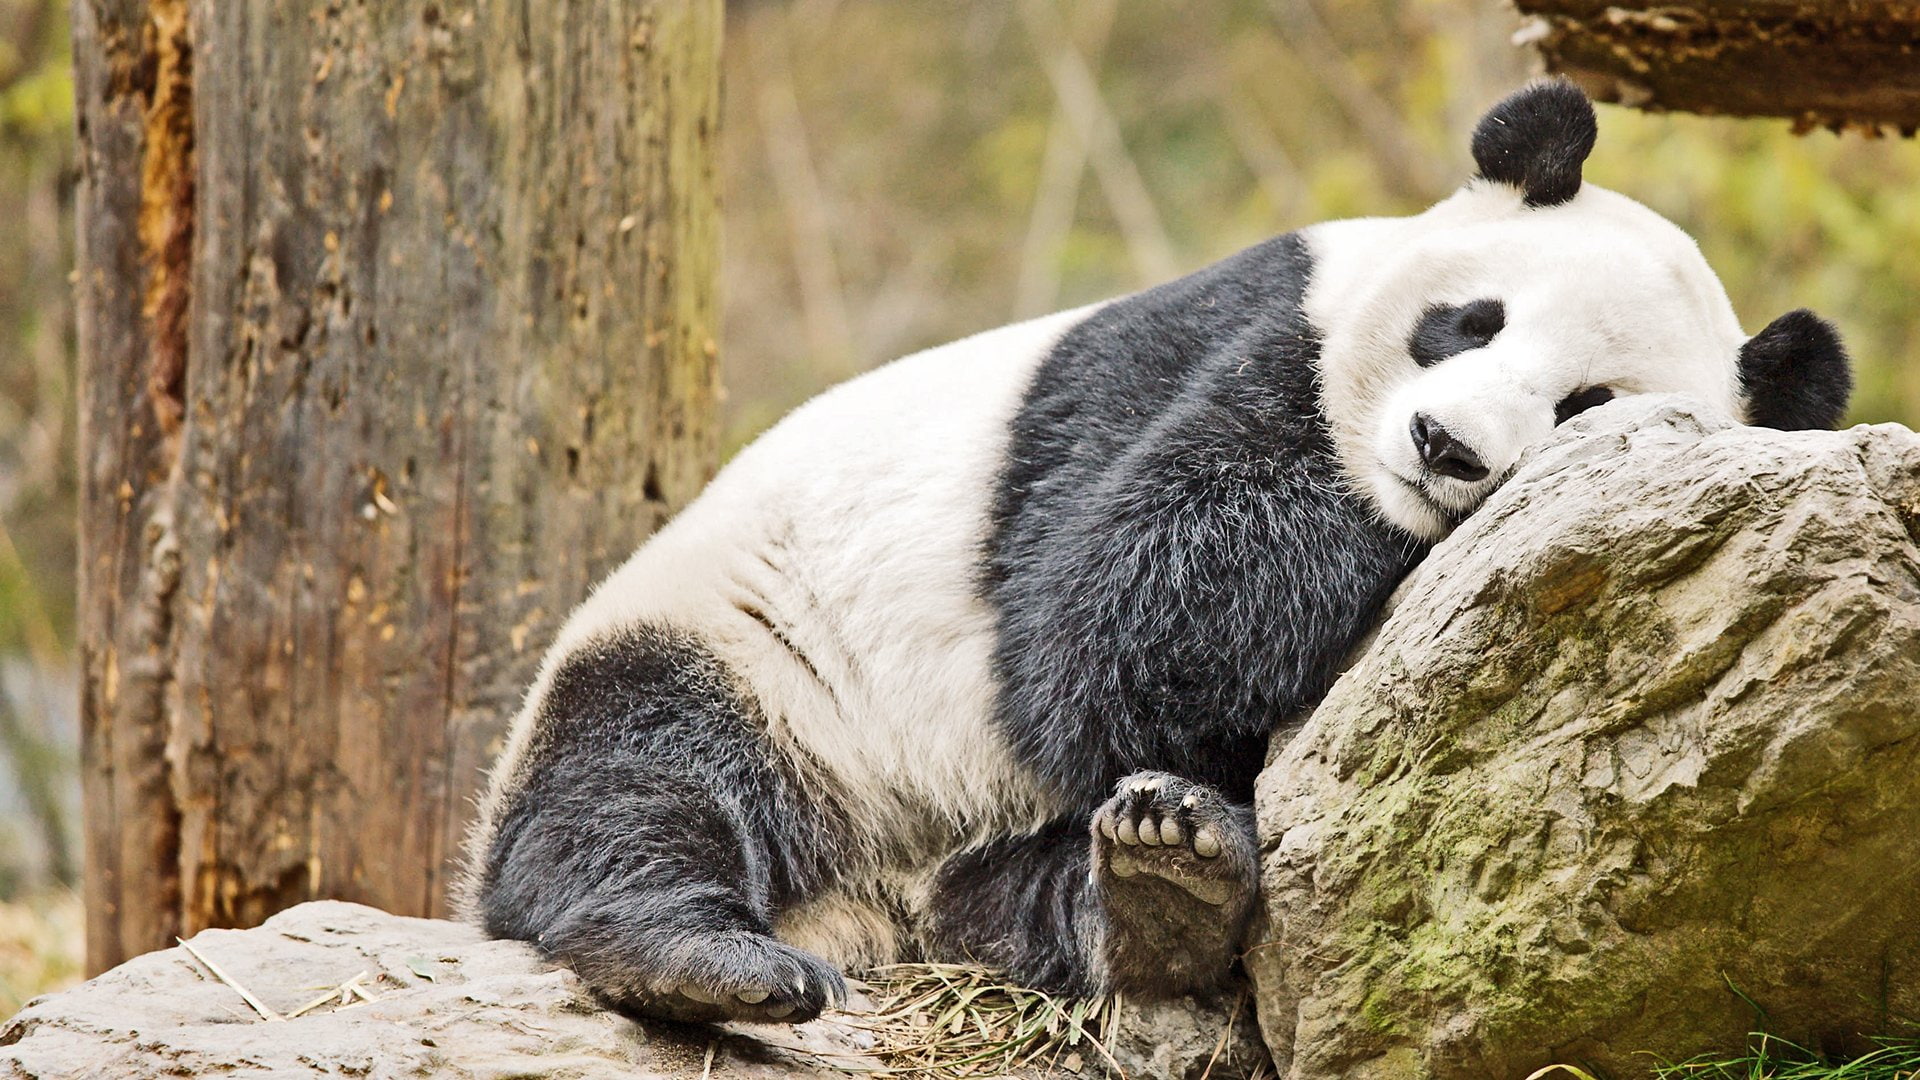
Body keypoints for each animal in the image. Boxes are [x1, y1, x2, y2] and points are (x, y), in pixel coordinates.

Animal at [461, 81, 1852, 1024]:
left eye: (1585, 405)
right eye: (1470, 322)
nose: (1446, 447)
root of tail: (875, 901)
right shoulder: (1219, 339)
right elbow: (1104, 618)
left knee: (1030, 887)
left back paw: (1161, 886)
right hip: (761, 646)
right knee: (637, 771)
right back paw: (700, 957)